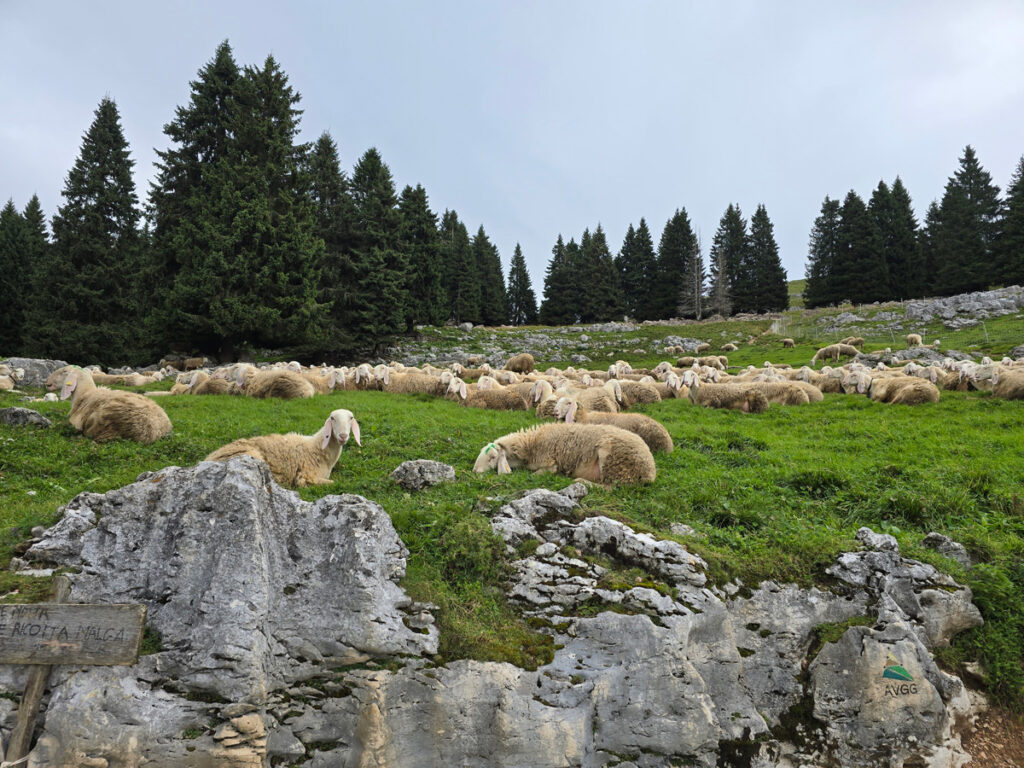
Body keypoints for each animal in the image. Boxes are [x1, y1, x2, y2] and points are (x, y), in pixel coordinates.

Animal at [205, 409, 361, 487]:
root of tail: (207, 459)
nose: (343, 436)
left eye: (351, 418)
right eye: (332, 418)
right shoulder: (305, 475)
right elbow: (332, 483)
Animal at [472, 423, 656, 484]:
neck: (531, 444)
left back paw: (582, 481)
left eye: (493, 457)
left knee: (613, 486)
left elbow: (537, 474)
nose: (475, 471)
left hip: (614, 462)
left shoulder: (550, 462)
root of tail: (651, 470)